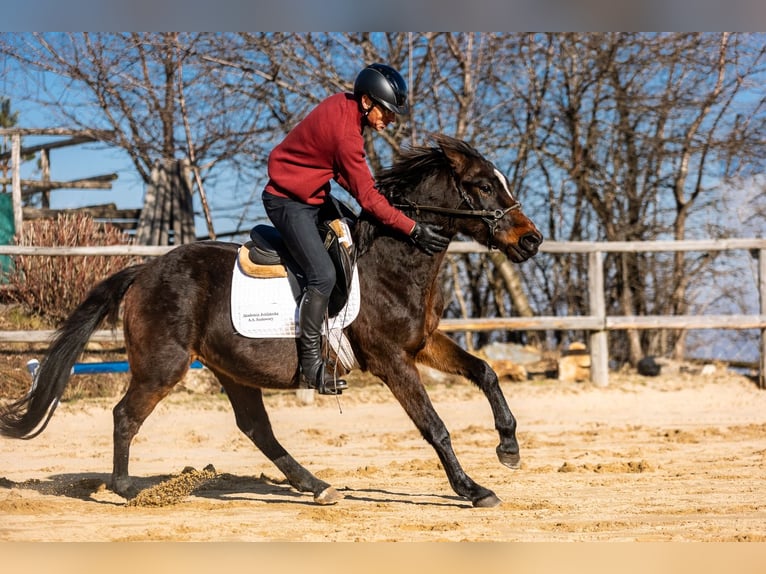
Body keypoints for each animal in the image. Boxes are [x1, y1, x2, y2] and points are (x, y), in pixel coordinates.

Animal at [0, 134, 544, 508]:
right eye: (482, 185)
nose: (532, 240)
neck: (396, 256)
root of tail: (143, 271)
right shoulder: (392, 359)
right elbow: (435, 427)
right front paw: (472, 488)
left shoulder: (424, 343)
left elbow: (485, 372)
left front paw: (509, 446)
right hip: (163, 367)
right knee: (125, 417)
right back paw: (126, 490)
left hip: (232, 369)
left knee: (256, 429)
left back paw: (316, 486)